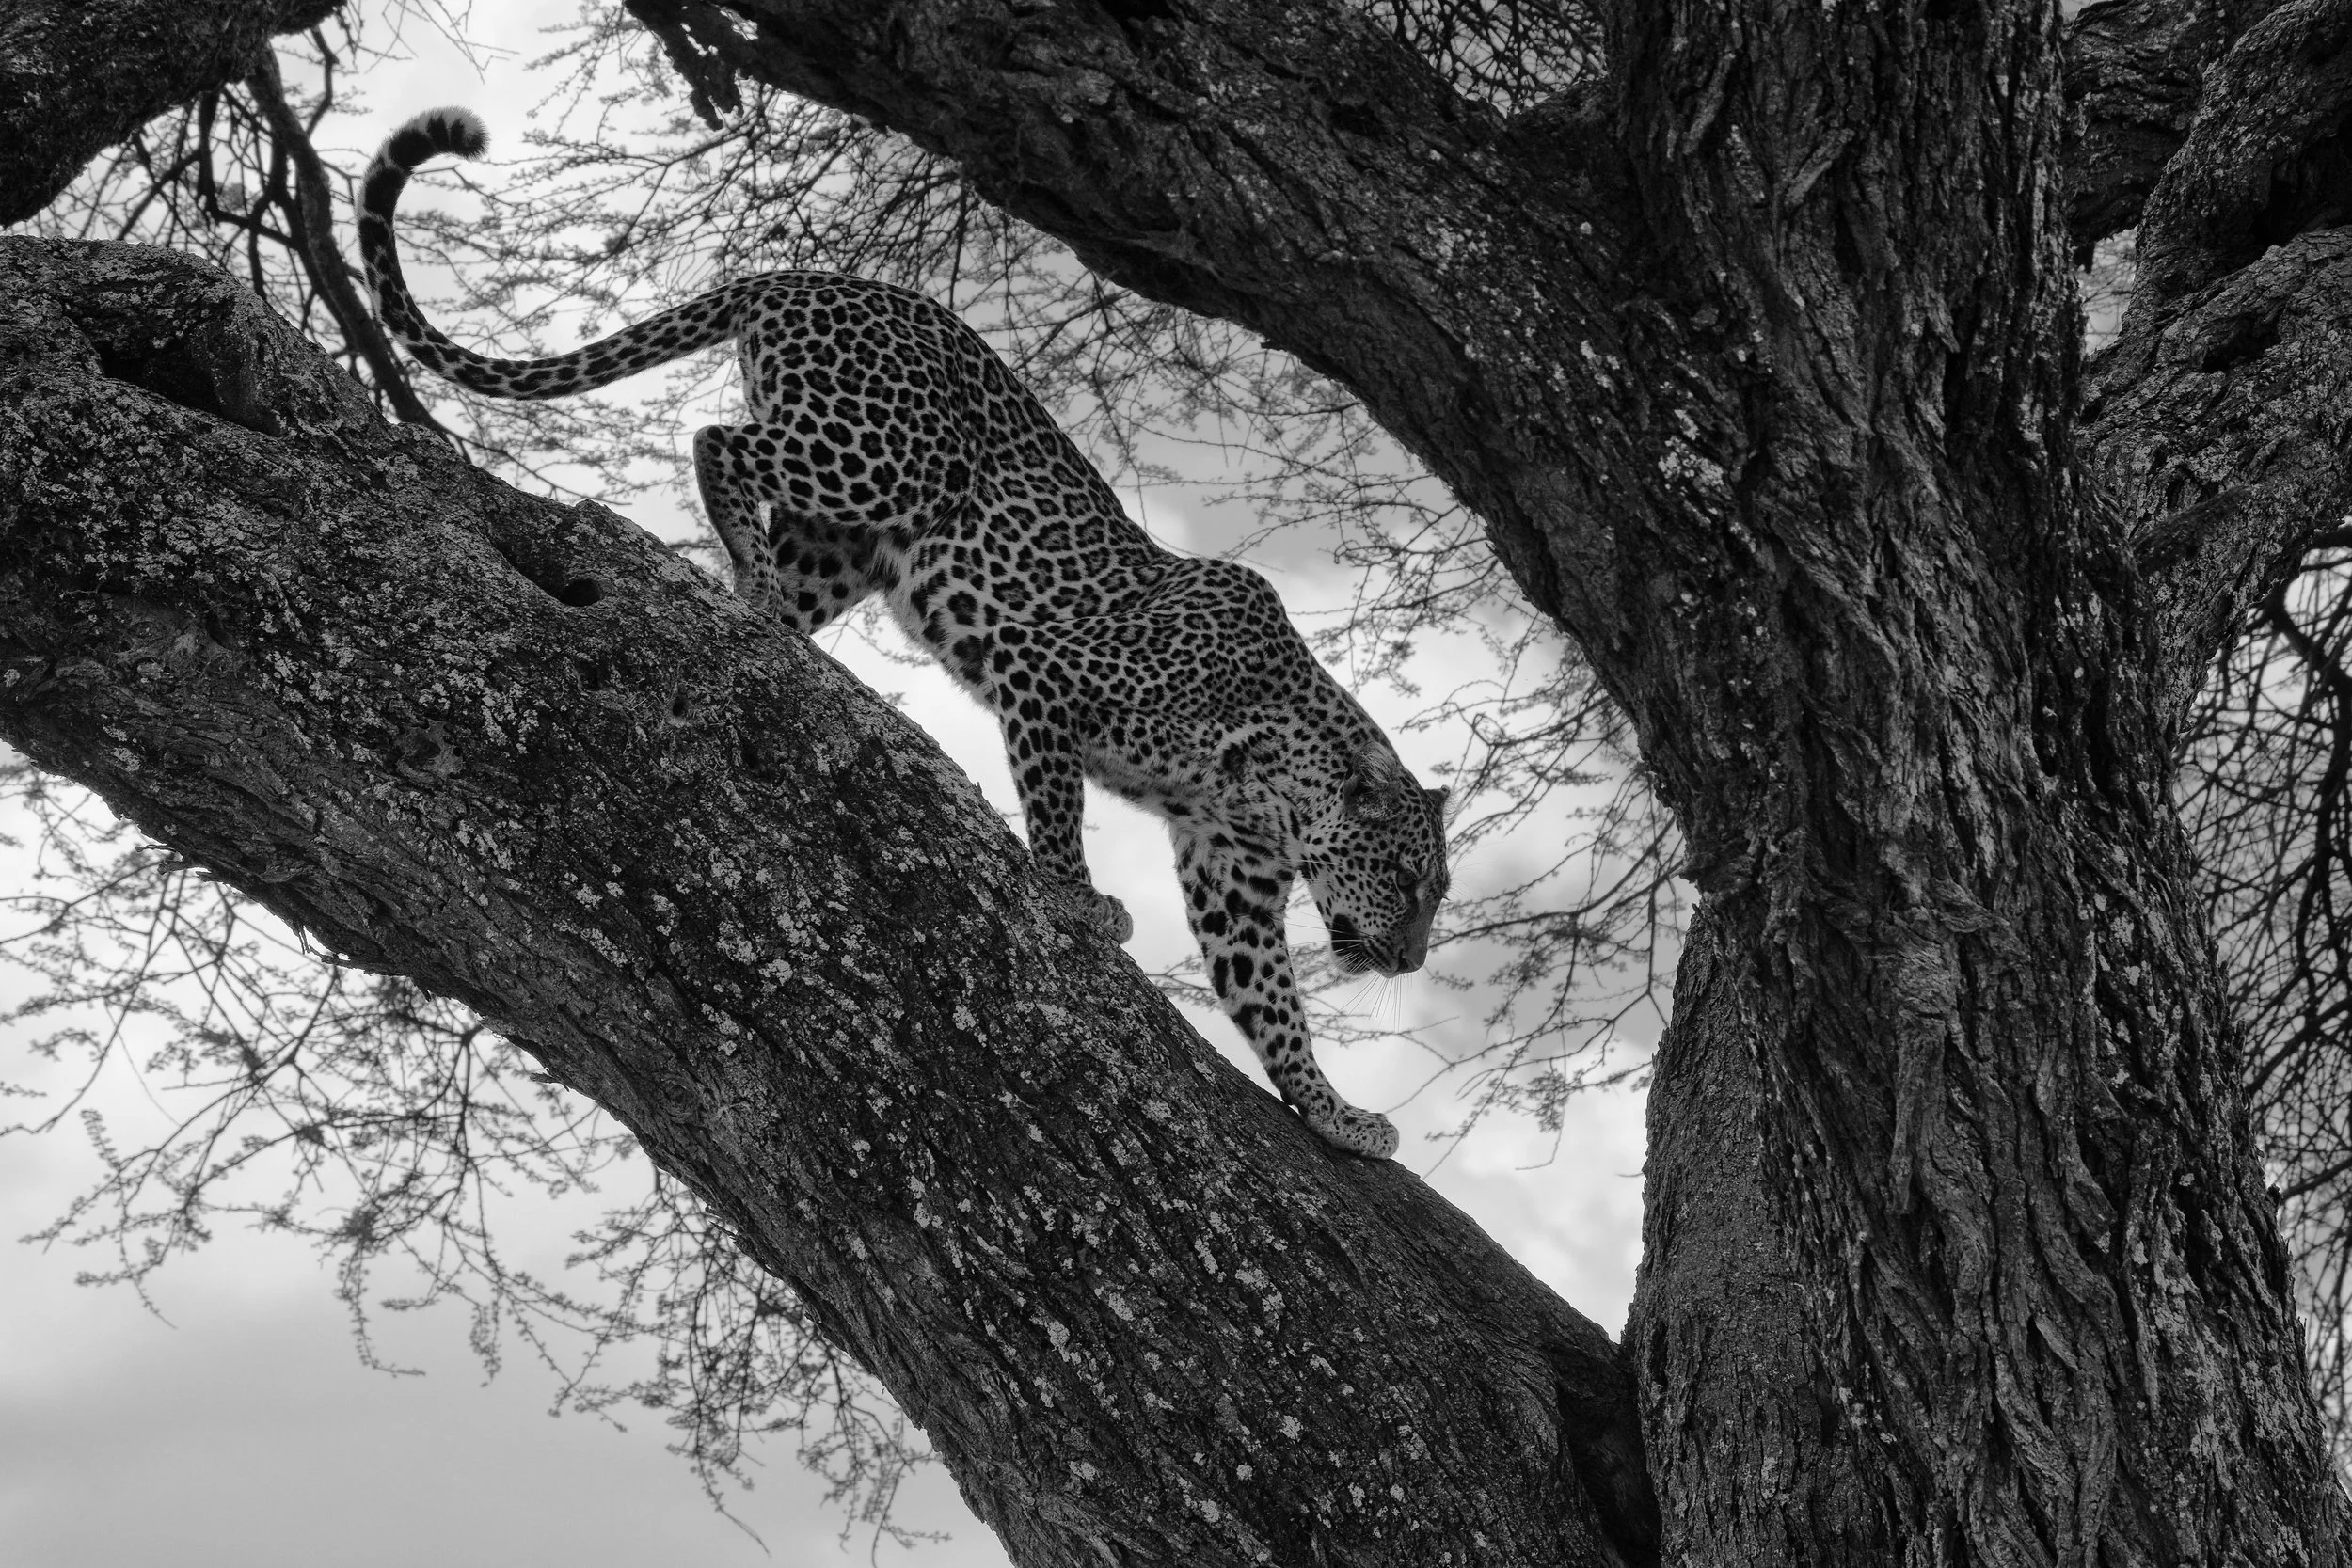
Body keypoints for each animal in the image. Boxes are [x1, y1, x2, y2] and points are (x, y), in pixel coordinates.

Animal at [359, 107, 1450, 1159]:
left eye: (1432, 892)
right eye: (1406, 879)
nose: (1410, 957)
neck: (1272, 788)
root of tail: (805, 274)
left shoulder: (1234, 877)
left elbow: (1270, 1005)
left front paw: (1337, 1116)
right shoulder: (1047, 675)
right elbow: (1059, 817)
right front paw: (1079, 903)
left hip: (851, 539)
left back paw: (764, 608)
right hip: (891, 458)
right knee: (719, 441)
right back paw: (748, 580)